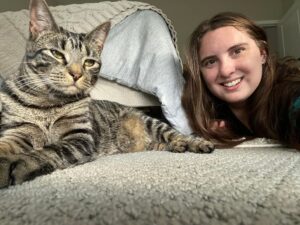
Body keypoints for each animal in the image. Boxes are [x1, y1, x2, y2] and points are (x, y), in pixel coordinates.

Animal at [0, 0, 213, 188]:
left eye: (89, 62)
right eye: (57, 54)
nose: (76, 74)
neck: (47, 103)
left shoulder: (80, 137)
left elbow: (50, 150)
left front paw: (20, 164)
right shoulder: (18, 132)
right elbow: (5, 145)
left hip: (150, 122)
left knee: (173, 133)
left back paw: (193, 142)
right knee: (156, 143)